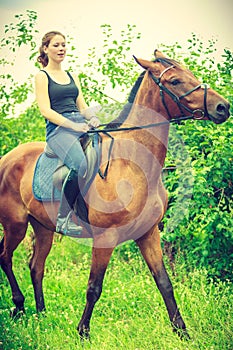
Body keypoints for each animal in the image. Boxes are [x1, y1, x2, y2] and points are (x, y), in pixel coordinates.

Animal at [0, 51, 229, 340]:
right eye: (175, 81)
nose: (223, 107)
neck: (133, 164)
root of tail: (7, 159)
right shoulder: (105, 238)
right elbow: (94, 287)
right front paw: (83, 332)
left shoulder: (148, 233)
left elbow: (164, 282)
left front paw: (182, 332)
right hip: (15, 225)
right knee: (5, 257)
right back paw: (19, 306)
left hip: (43, 228)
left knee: (35, 266)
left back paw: (41, 315)